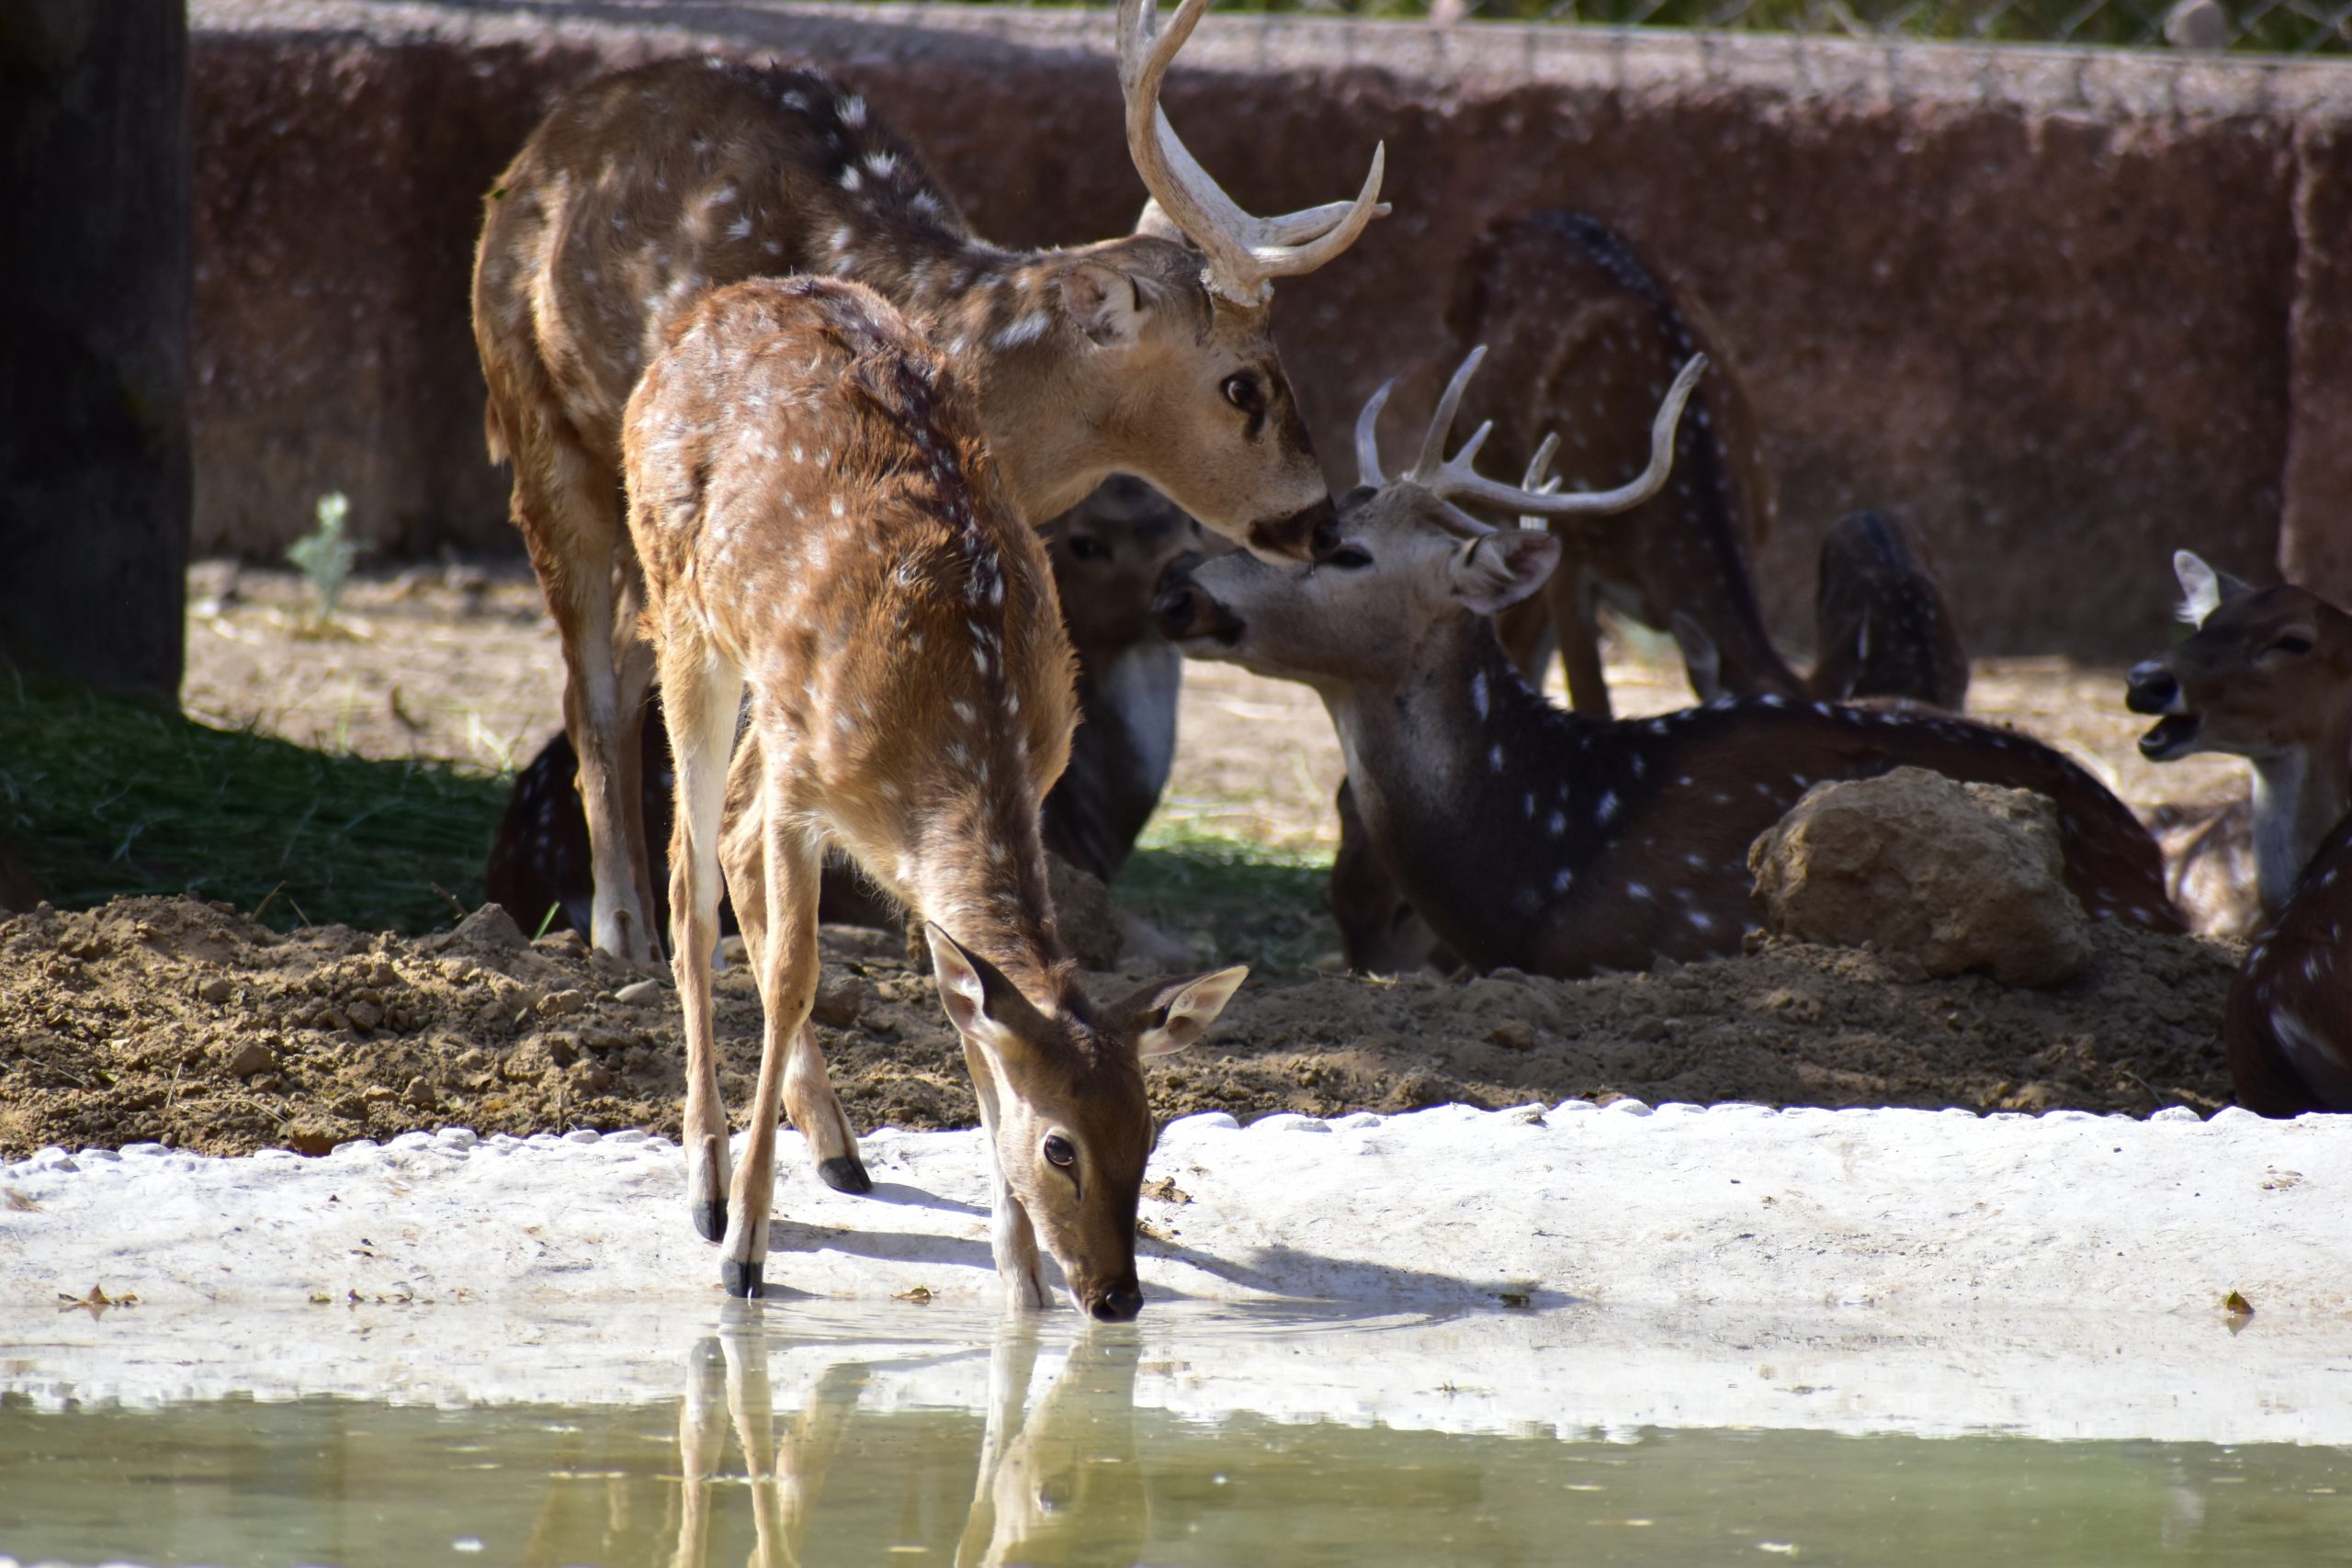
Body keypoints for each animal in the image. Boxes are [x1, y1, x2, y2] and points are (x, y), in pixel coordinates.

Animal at [480, 0, 1392, 968]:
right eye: (1241, 385)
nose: (1320, 523)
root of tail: (533, 152)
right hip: (537, 420)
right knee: (589, 683)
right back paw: (622, 934)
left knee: (624, 669)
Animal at [625, 276, 1250, 1306]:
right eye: (1061, 1147)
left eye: (1149, 1134)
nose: (1116, 1296)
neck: (962, 719)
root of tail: (699, 310)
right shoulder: (805, 789)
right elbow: (793, 976)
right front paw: (744, 1254)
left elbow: (967, 1006)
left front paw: (1022, 1281)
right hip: (684, 610)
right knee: (688, 877)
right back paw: (707, 1181)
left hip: (766, 695)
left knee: (725, 844)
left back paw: (838, 1149)